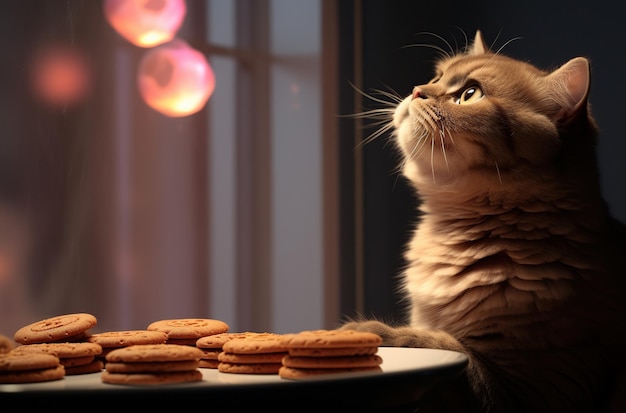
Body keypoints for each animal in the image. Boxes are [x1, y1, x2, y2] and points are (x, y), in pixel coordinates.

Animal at [338, 30, 624, 410]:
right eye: (436, 77)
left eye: (470, 94)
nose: (416, 91)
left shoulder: (534, 386)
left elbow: (440, 345)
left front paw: (365, 332)